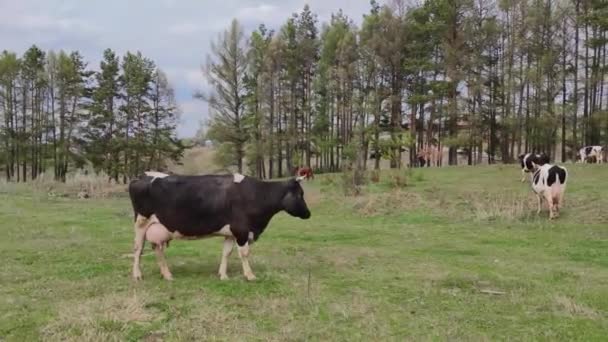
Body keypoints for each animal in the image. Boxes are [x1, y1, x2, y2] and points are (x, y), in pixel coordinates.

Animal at [127, 172, 308, 282]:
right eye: (300, 194)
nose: (308, 214)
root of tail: (141, 176)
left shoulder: (231, 233)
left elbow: (226, 253)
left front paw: (223, 275)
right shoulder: (242, 230)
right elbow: (244, 253)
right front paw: (250, 275)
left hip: (158, 227)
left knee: (157, 249)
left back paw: (167, 275)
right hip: (141, 222)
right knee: (138, 249)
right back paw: (137, 275)